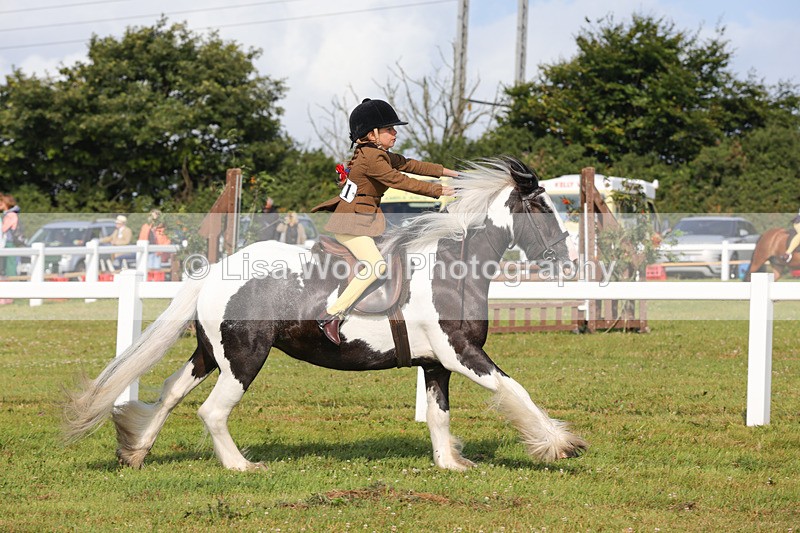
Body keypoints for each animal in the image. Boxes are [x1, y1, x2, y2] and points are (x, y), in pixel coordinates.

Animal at [64, 157, 588, 472]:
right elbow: (514, 389)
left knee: (172, 392)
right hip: (244, 359)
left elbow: (439, 416)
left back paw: (136, 450)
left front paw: (450, 464)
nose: (567, 260)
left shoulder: (437, 363)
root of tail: (214, 272)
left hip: (211, 354)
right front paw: (560, 443)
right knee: (211, 410)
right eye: (542, 208)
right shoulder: (461, 354)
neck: (450, 267)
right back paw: (241, 465)